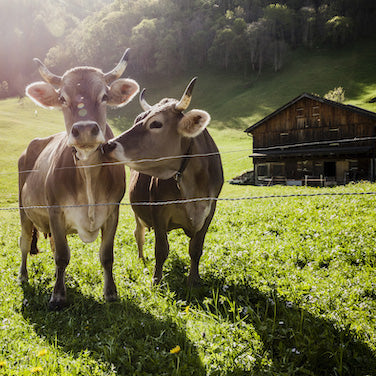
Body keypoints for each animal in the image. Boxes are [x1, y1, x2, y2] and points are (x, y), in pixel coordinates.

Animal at [19, 50, 140, 308]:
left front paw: (111, 293)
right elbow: (62, 256)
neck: (87, 173)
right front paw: (57, 296)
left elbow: (106, 255)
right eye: (62, 98)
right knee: (24, 242)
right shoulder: (55, 211)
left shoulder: (112, 211)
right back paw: (23, 275)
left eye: (104, 96)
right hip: (24, 211)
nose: (84, 129)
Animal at [102, 78, 223, 284]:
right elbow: (161, 250)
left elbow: (196, 248)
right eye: (139, 120)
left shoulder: (209, 210)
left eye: (156, 123)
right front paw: (156, 280)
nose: (107, 145)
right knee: (139, 234)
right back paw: (141, 259)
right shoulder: (158, 210)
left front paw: (194, 279)